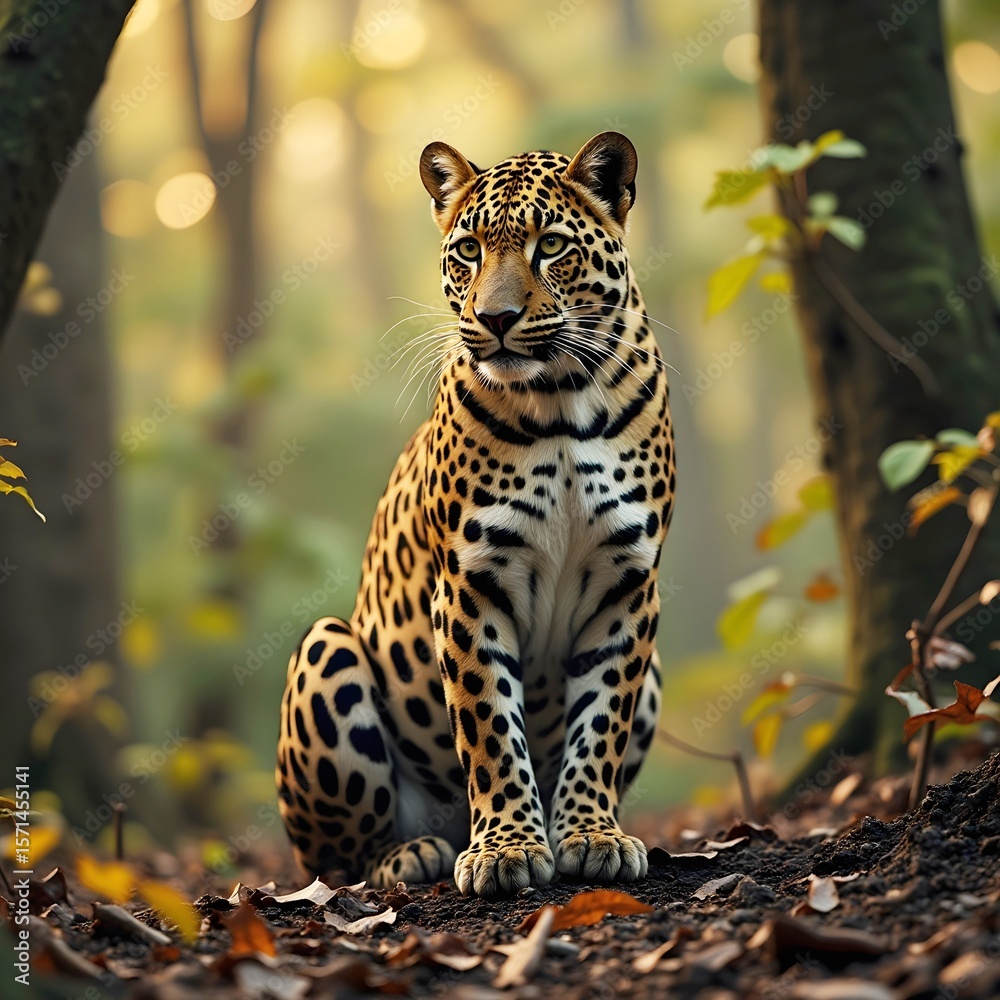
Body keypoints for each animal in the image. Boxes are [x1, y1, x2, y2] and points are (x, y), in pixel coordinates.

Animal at [276, 131, 676, 898]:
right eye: (468, 251)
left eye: (551, 246)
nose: (495, 320)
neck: (561, 401)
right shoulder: (469, 581)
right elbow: (489, 724)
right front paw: (508, 849)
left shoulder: (628, 581)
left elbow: (600, 720)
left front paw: (591, 834)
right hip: (326, 648)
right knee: (336, 861)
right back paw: (412, 854)